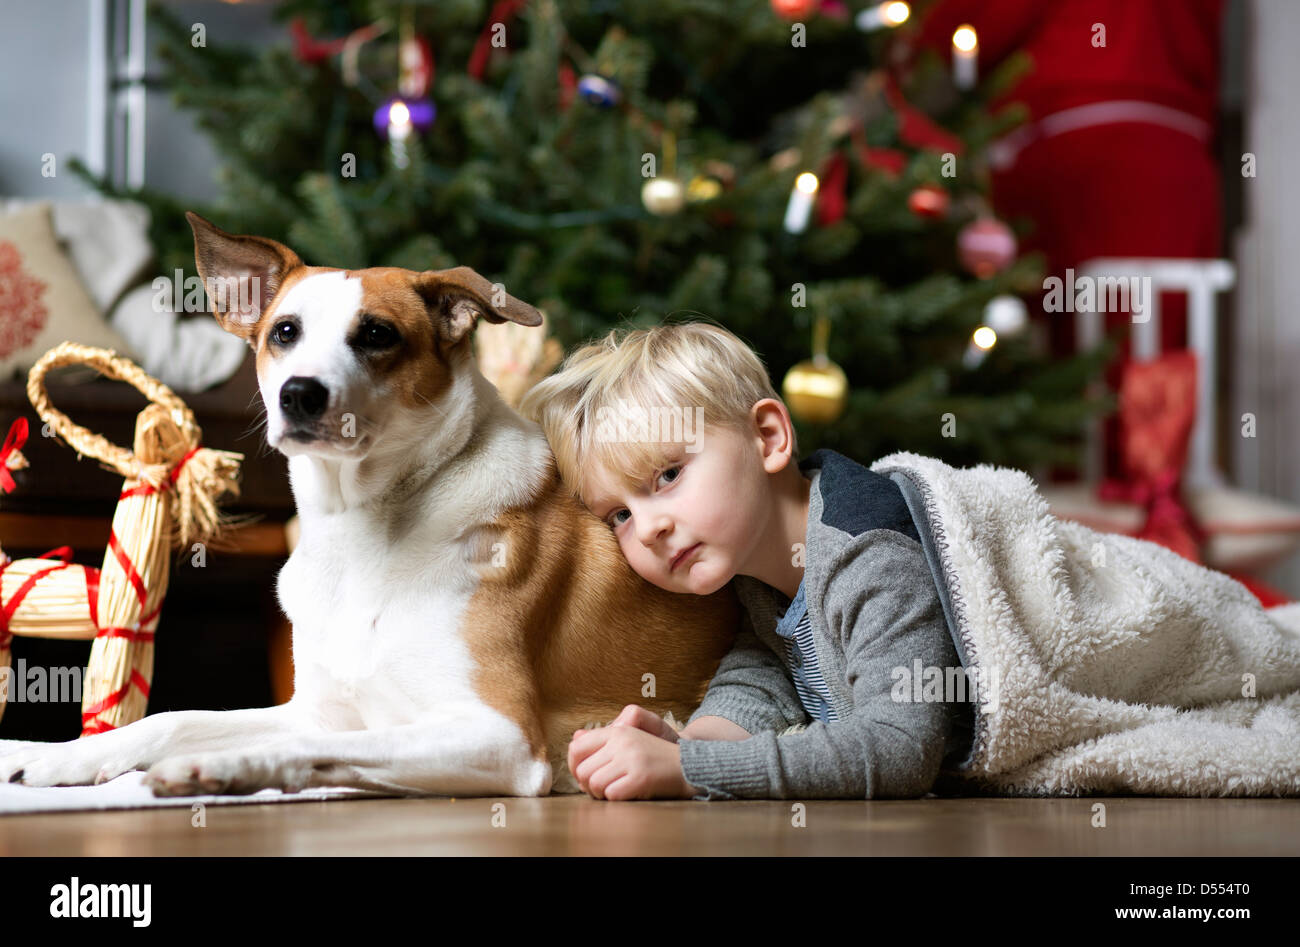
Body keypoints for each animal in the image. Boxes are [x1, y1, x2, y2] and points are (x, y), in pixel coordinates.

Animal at [0, 214, 738, 801]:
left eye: (377, 334)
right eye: (284, 332)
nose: (300, 393)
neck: (359, 527)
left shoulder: (500, 735)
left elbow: (302, 750)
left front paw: (220, 767)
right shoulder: (315, 709)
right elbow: (170, 718)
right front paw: (60, 757)